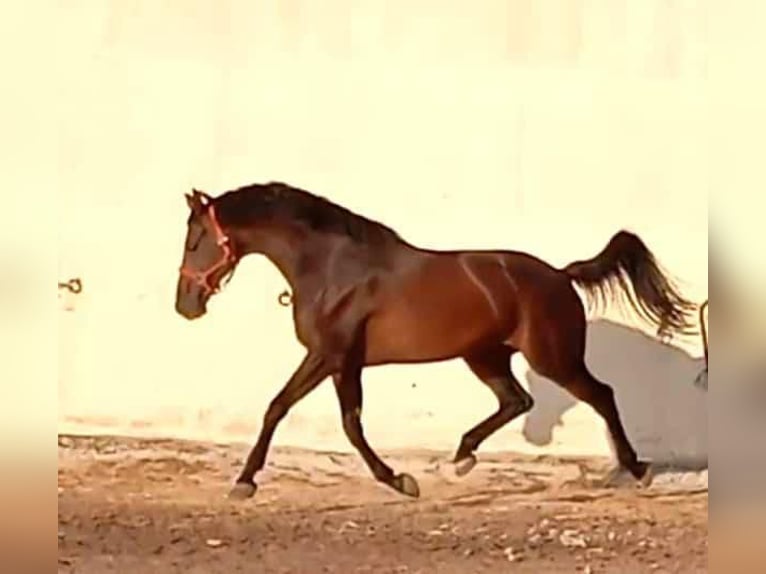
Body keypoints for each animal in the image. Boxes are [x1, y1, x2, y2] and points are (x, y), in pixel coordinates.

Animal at [175, 182, 698, 500]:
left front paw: (399, 481)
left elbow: (331, 420)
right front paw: (245, 482)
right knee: (517, 400)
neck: (331, 268)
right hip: (484, 356)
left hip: (553, 357)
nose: (186, 305)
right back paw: (463, 457)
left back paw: (637, 469)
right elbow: (298, 412)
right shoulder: (337, 361)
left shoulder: (332, 356)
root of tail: (559, 275)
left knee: (601, 395)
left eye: (196, 238)